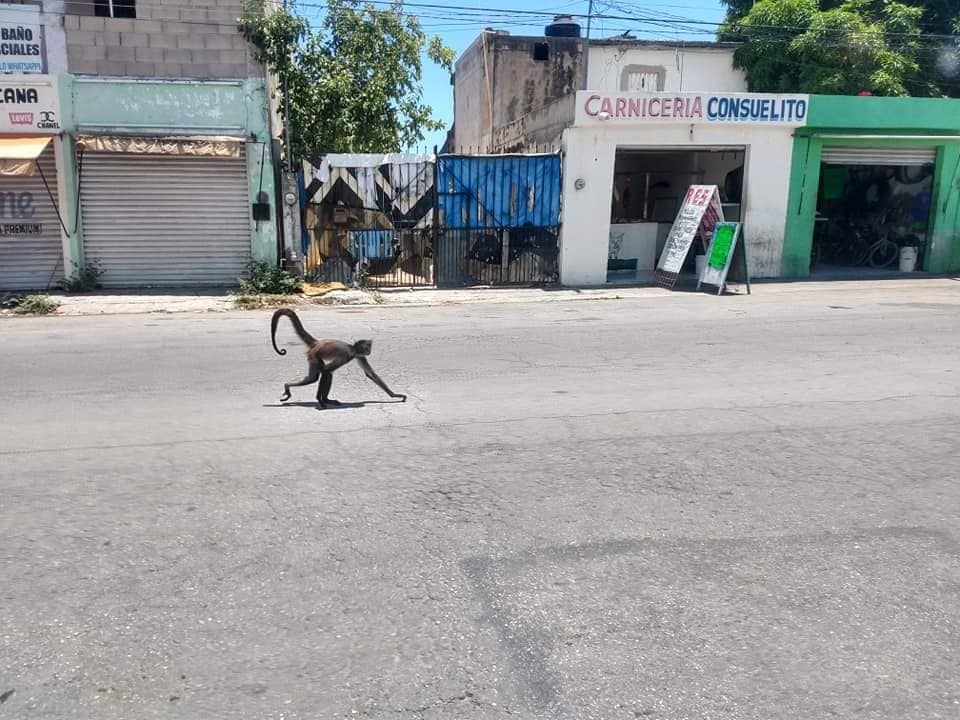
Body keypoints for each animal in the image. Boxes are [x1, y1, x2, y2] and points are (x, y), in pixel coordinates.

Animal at [272, 310, 406, 410]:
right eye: (367, 347)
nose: (369, 350)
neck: (353, 348)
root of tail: (317, 343)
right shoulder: (348, 355)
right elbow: (326, 371)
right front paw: (319, 400)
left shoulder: (359, 355)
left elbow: (370, 374)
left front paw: (394, 395)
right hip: (314, 356)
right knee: (322, 375)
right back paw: (323, 399)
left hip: (313, 357)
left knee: (313, 378)